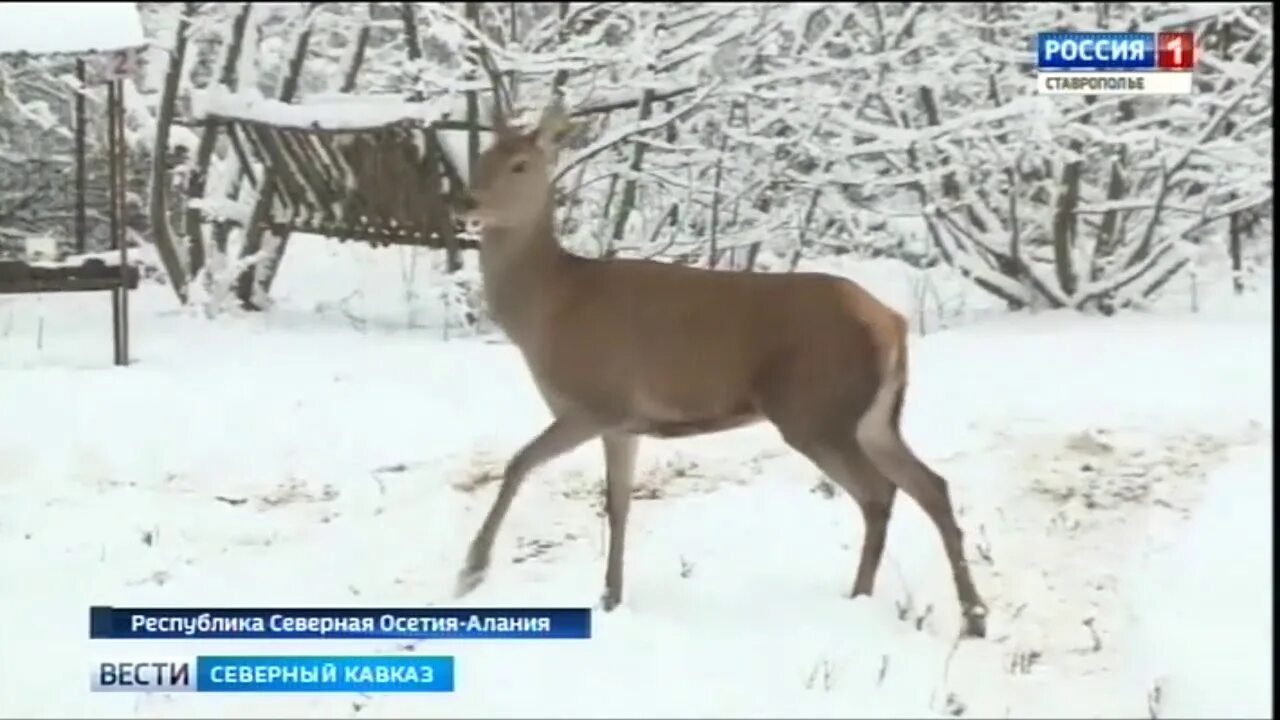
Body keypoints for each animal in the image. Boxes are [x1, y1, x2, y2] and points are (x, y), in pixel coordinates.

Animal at [450, 98, 988, 635]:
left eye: (521, 165)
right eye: (480, 159)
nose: (466, 203)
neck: (549, 309)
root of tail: (892, 321)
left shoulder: (597, 401)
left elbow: (520, 462)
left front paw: (471, 571)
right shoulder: (624, 424)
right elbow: (619, 505)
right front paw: (611, 597)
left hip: (815, 408)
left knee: (879, 493)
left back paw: (860, 598)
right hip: (872, 417)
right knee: (930, 486)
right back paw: (973, 615)